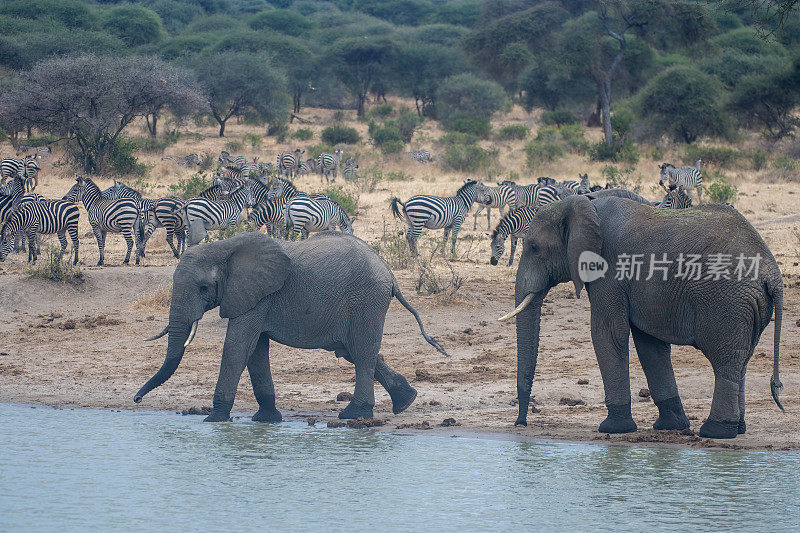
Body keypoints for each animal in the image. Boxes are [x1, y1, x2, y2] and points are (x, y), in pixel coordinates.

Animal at [130, 231, 444, 422]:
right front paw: (266, 420)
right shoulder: (256, 296)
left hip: (366, 300)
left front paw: (214, 419)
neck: (224, 247)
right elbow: (255, 351)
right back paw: (406, 402)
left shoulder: (258, 296)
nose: (135, 399)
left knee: (363, 353)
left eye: (204, 288)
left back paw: (354, 415)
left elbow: (237, 347)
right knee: (353, 351)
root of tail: (390, 274)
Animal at [496, 189, 784, 438]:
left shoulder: (609, 270)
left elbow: (608, 332)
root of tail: (773, 273)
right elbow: (649, 343)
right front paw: (671, 426)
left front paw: (612, 428)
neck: (585, 202)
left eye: (534, 247)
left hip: (727, 302)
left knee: (725, 361)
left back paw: (716, 431)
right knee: (741, 361)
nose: (520, 422)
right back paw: (738, 429)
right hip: (747, 306)